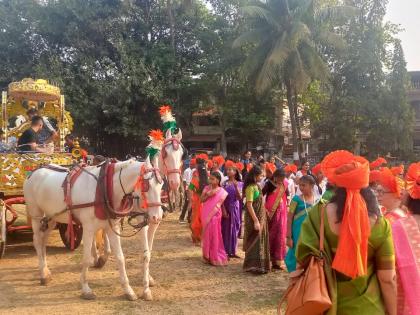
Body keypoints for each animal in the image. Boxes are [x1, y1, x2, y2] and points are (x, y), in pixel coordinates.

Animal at [23, 157, 162, 302]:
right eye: (146, 186)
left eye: (162, 185)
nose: (157, 217)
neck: (103, 189)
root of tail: (34, 172)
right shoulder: (88, 228)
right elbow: (86, 259)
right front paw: (86, 289)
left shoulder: (112, 228)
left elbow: (120, 258)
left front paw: (128, 290)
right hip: (36, 216)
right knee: (37, 241)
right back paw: (43, 274)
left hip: (51, 218)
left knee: (43, 241)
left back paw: (45, 270)